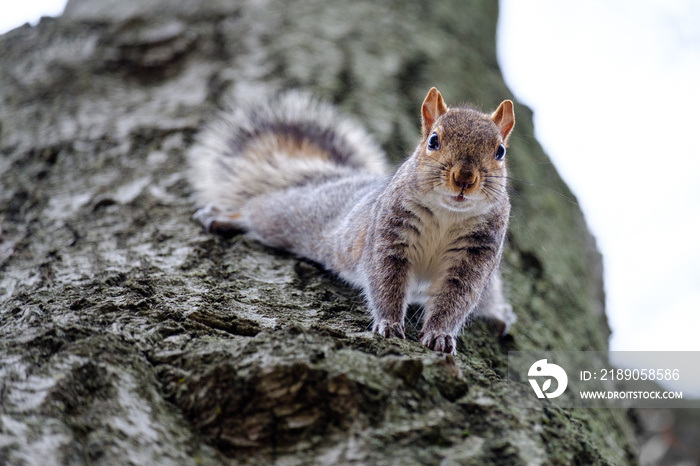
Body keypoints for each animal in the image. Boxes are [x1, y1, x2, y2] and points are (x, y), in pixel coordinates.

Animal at [189, 87, 516, 354]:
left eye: (500, 151)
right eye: (434, 141)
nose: (464, 178)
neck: (448, 214)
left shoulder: (475, 255)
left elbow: (455, 299)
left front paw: (439, 335)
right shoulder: (389, 235)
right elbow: (386, 282)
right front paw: (389, 324)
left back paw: (499, 313)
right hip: (291, 215)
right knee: (258, 209)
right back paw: (226, 217)